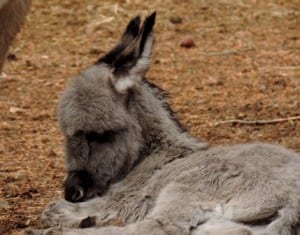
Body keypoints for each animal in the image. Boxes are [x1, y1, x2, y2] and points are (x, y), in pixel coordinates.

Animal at [27, 12, 298, 235]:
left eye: (99, 134)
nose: (72, 192)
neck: (157, 157)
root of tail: (293, 207)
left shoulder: (127, 198)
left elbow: (54, 209)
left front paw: (68, 216)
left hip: (186, 188)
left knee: (154, 228)